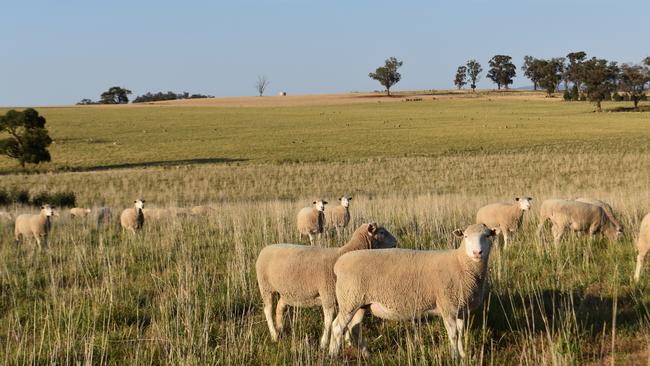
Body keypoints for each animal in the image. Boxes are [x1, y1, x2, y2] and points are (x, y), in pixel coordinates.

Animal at [256, 223, 398, 348]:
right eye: (382, 232)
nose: (396, 242)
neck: (343, 254)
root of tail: (265, 248)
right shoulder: (327, 295)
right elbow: (328, 322)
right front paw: (324, 344)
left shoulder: (343, 298)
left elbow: (345, 323)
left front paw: (347, 342)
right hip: (265, 287)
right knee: (268, 310)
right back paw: (274, 335)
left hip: (286, 292)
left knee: (280, 307)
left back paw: (280, 330)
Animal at [330, 223, 496, 360]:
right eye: (466, 236)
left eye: (487, 235)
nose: (477, 252)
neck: (461, 263)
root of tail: (339, 263)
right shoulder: (448, 306)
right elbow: (453, 335)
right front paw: (455, 358)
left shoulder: (461, 308)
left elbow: (461, 334)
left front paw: (463, 355)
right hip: (349, 300)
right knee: (337, 327)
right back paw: (332, 355)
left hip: (360, 303)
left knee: (354, 328)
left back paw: (366, 355)